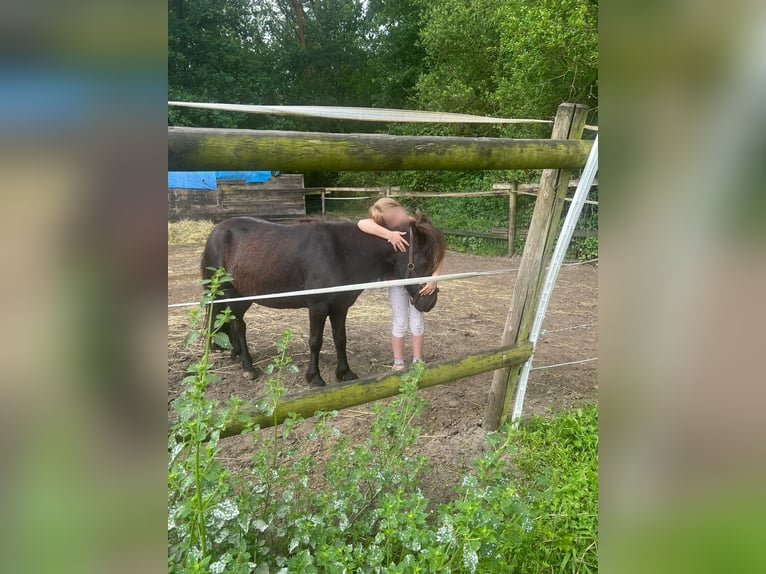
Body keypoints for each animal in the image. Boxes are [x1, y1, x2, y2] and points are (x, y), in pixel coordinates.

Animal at [201, 218, 448, 390]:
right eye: (422, 262)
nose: (429, 301)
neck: (342, 252)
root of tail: (215, 233)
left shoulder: (340, 307)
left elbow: (340, 339)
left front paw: (345, 373)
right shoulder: (317, 307)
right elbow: (315, 342)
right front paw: (315, 377)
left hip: (244, 297)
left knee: (234, 323)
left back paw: (237, 356)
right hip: (230, 294)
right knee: (236, 325)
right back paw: (248, 366)